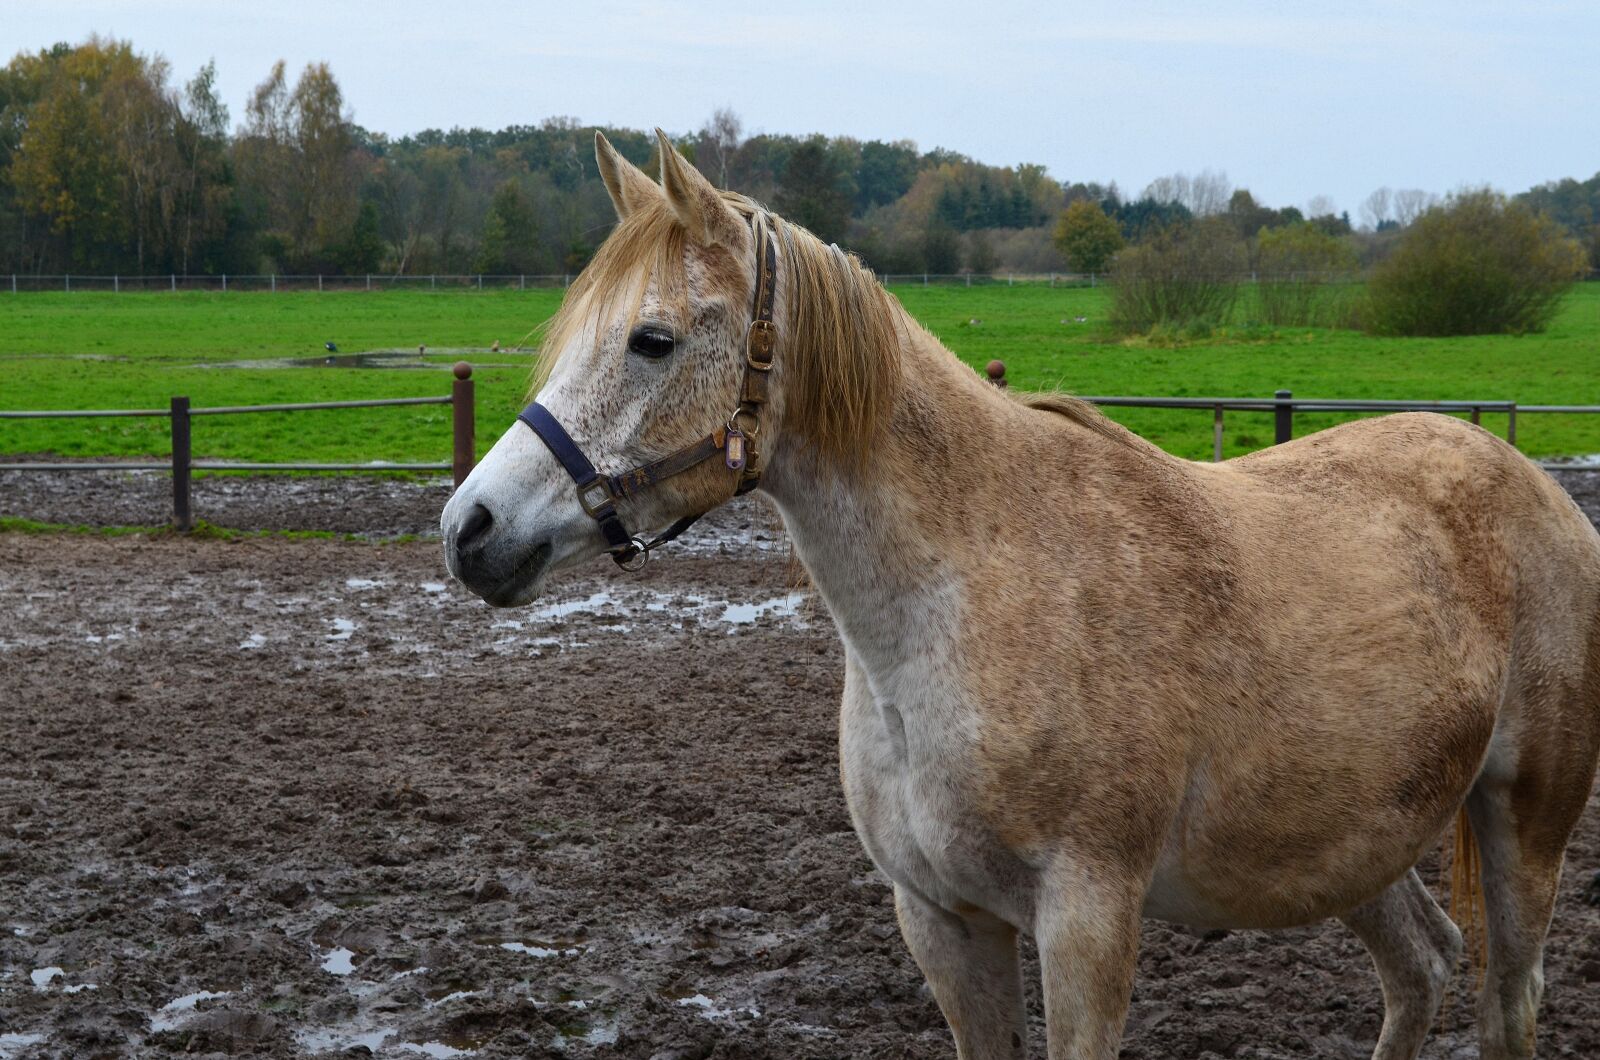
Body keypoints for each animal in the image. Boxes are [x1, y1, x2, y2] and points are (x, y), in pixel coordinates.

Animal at [441, 130, 1600, 1059]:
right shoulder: (944, 922)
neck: (967, 601)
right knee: (1421, 971)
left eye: (653, 339)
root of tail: (1532, 482)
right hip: (1351, 847)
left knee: (1507, 1000)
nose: (471, 530)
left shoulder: (1086, 918)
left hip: (1523, 822)